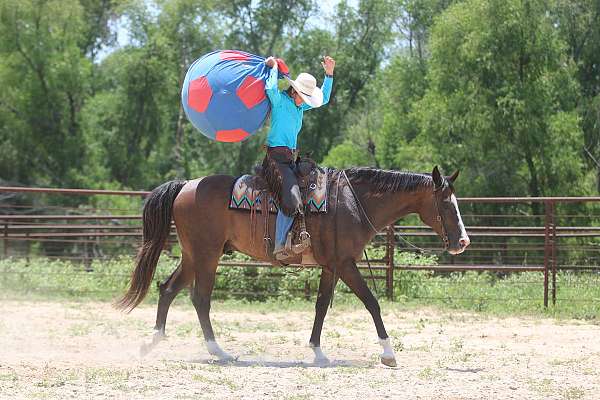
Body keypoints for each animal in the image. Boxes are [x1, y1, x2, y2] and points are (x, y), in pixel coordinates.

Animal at [117, 165, 472, 366]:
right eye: (446, 204)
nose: (463, 241)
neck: (353, 203)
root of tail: (186, 185)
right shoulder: (345, 264)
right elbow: (372, 303)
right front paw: (388, 354)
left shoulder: (331, 266)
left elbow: (321, 306)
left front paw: (318, 352)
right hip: (206, 254)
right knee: (200, 298)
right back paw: (219, 352)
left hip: (194, 255)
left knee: (168, 289)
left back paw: (153, 342)